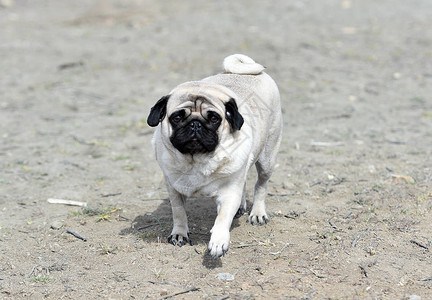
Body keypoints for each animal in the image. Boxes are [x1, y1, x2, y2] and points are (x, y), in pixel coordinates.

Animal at [148, 54, 284, 258]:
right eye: (177, 118)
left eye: (214, 119)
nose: (195, 124)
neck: (196, 161)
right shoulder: (174, 189)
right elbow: (179, 213)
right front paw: (179, 234)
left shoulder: (228, 194)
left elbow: (222, 218)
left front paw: (218, 241)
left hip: (267, 158)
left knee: (261, 185)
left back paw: (258, 213)